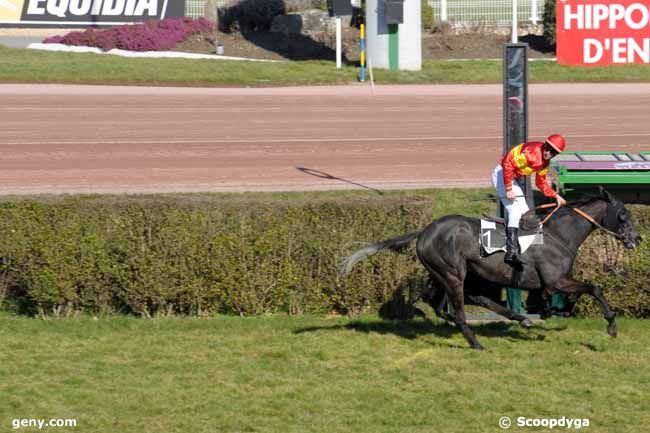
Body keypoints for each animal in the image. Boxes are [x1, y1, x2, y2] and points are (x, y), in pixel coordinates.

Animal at [342, 187, 640, 350]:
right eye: (623, 214)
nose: (637, 239)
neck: (559, 235)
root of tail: (424, 231)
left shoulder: (555, 282)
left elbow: (570, 296)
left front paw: (553, 311)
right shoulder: (556, 280)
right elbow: (594, 288)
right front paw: (611, 325)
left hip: (450, 273)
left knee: (450, 301)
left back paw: (518, 318)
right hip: (453, 273)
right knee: (458, 308)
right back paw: (476, 342)